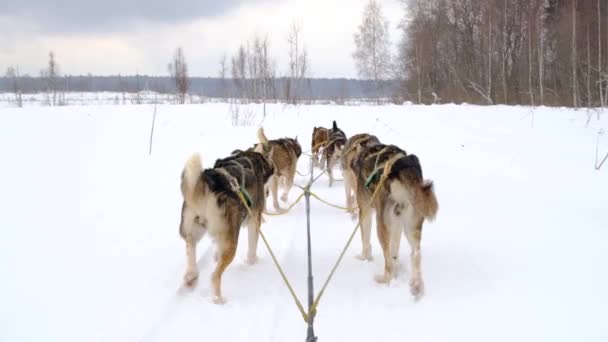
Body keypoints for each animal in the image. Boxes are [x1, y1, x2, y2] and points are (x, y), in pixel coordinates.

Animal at [178, 151, 274, 304]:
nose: (268, 193)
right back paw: (219, 299)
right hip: (231, 243)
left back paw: (191, 277)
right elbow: (252, 245)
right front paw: (252, 261)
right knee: (214, 276)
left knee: (190, 247)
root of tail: (208, 181)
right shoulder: (254, 220)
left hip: (193, 230)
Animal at [352, 143, 436, 298]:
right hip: (410, 224)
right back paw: (417, 286)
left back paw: (385, 279)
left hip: (381, 224)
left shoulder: (365, 210)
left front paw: (364, 257)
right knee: (415, 254)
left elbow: (365, 240)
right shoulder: (397, 222)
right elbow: (394, 250)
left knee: (388, 261)